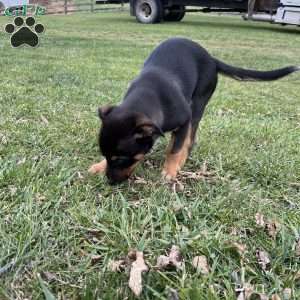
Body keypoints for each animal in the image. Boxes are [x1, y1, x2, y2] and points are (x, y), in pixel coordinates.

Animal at [88, 37, 298, 183]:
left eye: (122, 159)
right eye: (106, 156)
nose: (109, 182)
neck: (147, 96)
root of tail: (212, 59)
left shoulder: (185, 119)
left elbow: (177, 148)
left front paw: (170, 170)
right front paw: (99, 166)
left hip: (198, 105)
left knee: (189, 139)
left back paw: (181, 159)